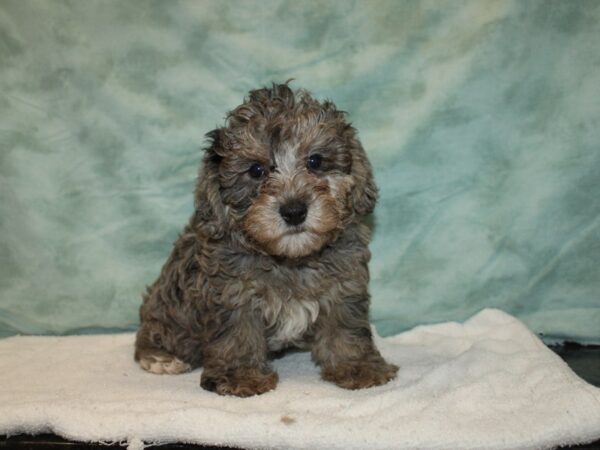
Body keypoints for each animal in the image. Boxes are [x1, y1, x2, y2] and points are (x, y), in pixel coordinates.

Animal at [135, 82, 398, 396]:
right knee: (154, 332)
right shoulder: (232, 293)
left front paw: (358, 366)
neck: (291, 259)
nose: (294, 211)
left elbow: (346, 328)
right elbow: (238, 336)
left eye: (315, 161)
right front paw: (240, 375)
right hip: (166, 309)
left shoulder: (344, 285)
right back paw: (160, 357)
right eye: (256, 170)